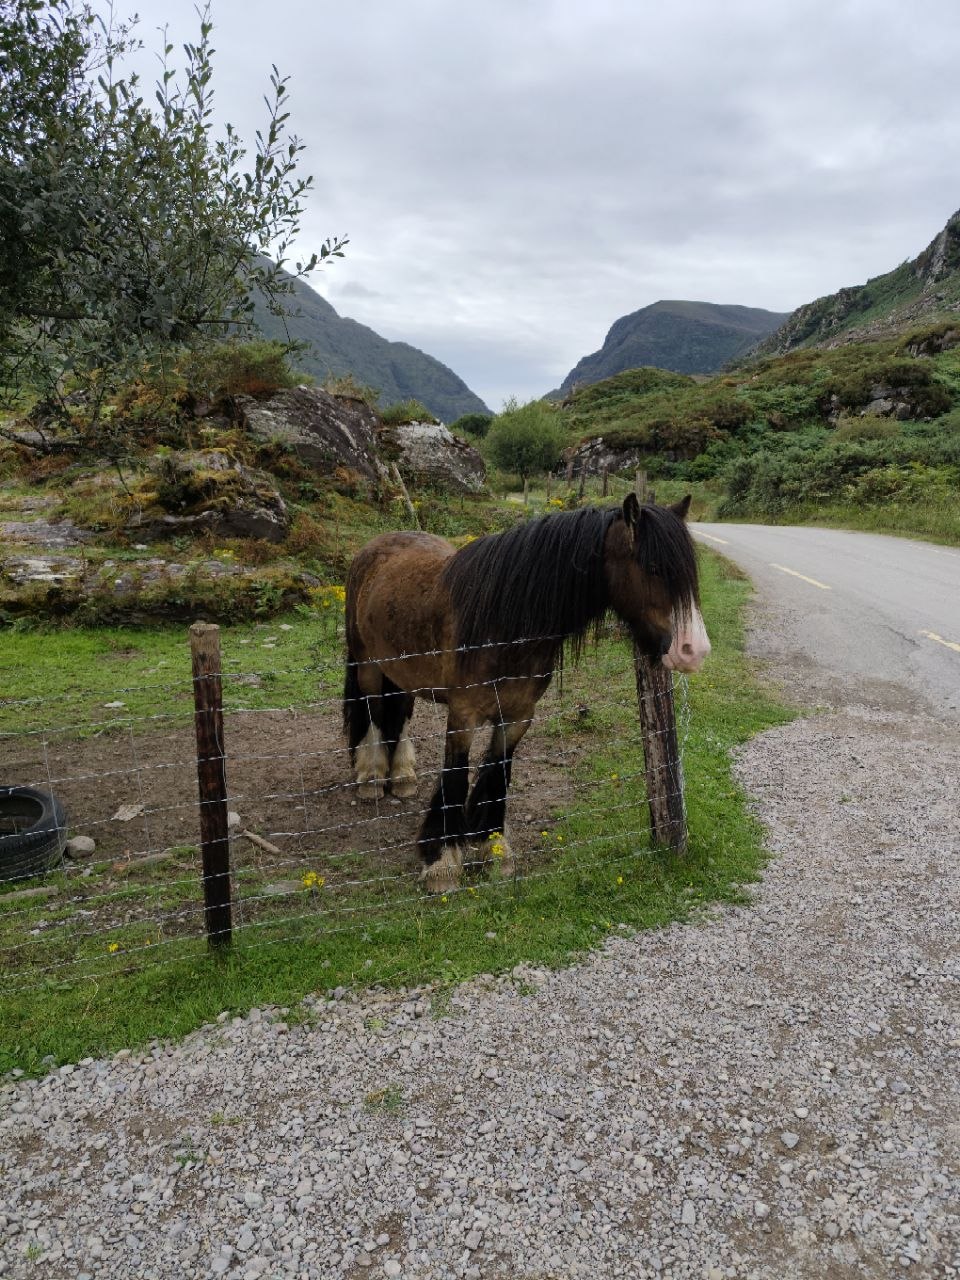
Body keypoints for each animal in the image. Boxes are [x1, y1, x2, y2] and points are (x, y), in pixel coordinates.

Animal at [342, 493, 710, 893]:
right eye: (655, 567)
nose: (694, 650)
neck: (504, 622)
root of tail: (376, 545)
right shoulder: (463, 716)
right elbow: (455, 776)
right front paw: (442, 862)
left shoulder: (518, 716)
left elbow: (497, 774)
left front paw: (492, 849)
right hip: (368, 666)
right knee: (373, 712)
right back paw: (372, 776)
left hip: (401, 671)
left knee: (400, 713)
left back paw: (402, 776)